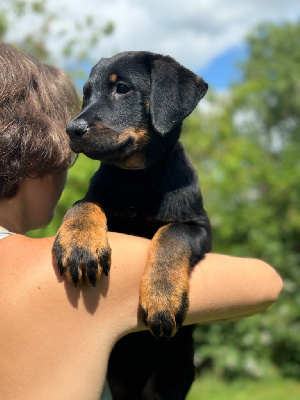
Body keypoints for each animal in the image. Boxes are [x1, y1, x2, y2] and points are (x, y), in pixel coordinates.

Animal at [52, 52, 211, 400]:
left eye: (122, 88)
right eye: (86, 93)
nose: (71, 129)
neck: (137, 179)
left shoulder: (198, 227)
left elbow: (170, 234)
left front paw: (162, 297)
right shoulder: (98, 196)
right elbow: (84, 204)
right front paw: (80, 246)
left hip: (172, 373)